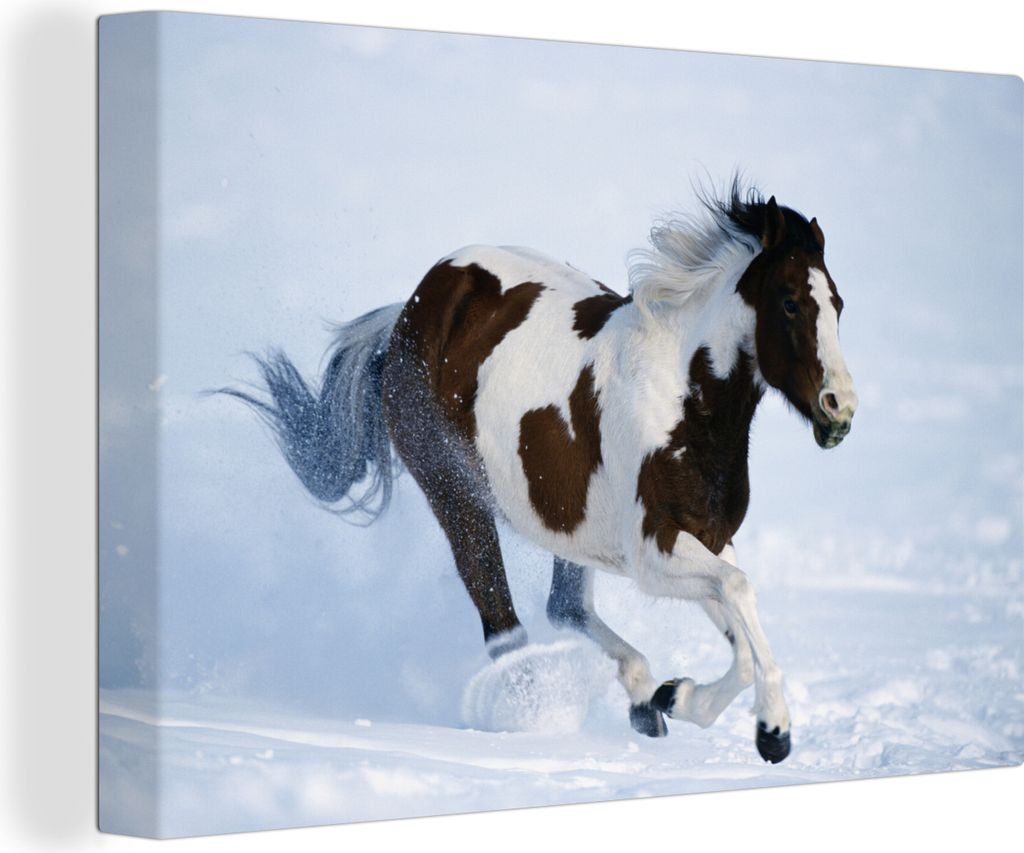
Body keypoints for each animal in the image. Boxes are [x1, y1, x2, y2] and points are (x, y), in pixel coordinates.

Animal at [223, 180, 858, 764]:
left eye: (839, 305)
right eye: (790, 303)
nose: (840, 409)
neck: (682, 399)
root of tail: (411, 309)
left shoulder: (707, 536)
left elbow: (740, 629)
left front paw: (678, 697)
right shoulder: (654, 550)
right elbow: (740, 591)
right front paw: (772, 731)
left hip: (569, 529)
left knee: (564, 607)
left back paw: (641, 697)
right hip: (456, 494)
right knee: (504, 624)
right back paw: (531, 714)